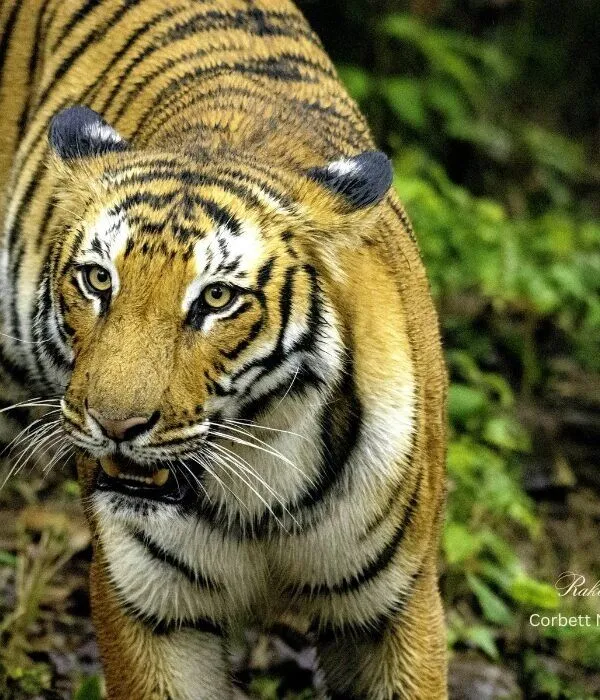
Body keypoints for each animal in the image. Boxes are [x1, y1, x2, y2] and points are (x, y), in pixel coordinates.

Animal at [0, 0, 448, 698]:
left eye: (215, 299)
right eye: (98, 280)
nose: (114, 425)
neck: (258, 484)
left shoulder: (394, 605)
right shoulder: (146, 608)